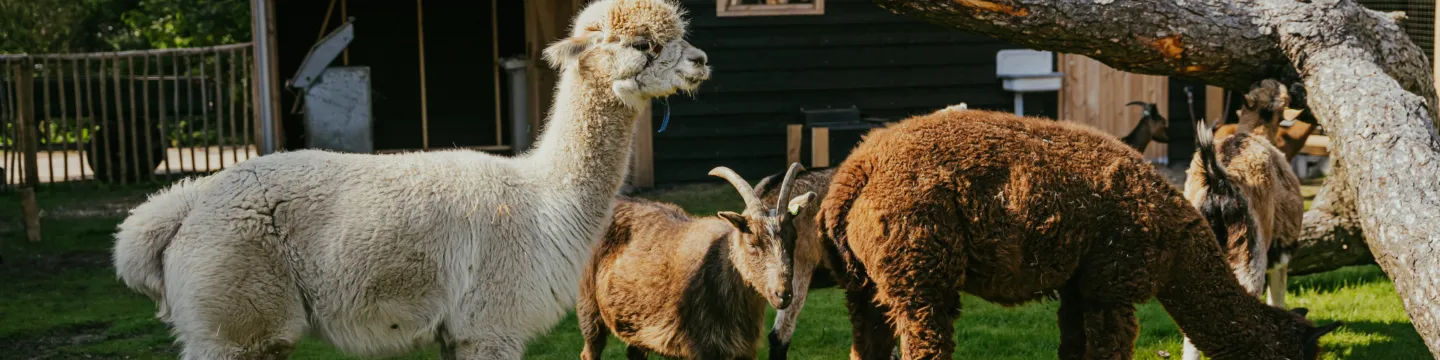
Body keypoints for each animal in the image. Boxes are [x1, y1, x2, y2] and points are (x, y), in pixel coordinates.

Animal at [576, 164, 823, 358]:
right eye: (752, 242)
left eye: (793, 238)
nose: (783, 294)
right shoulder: (700, 346)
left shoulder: (743, 350)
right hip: (588, 307)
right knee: (589, 350)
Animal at [823, 108, 1336, 358]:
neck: (1179, 250)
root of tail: (858, 171)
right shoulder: (1114, 284)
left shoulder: (1079, 283)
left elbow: (1073, 348)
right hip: (918, 265)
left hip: (863, 282)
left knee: (866, 344)